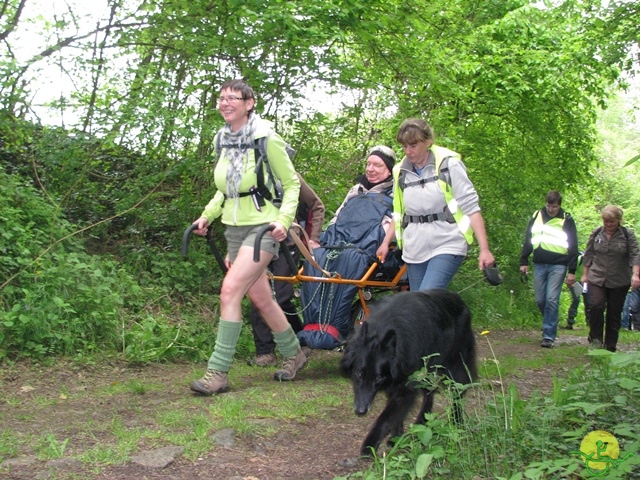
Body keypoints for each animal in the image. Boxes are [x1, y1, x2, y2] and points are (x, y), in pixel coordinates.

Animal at [340, 290, 476, 456]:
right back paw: (424, 421)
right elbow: (397, 415)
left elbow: (386, 417)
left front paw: (370, 445)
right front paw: (396, 437)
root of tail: (459, 299)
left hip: (453, 368)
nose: (360, 411)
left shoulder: (405, 387)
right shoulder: (396, 381)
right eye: (359, 373)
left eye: (378, 377)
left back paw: (456, 420)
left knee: (458, 391)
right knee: (430, 392)